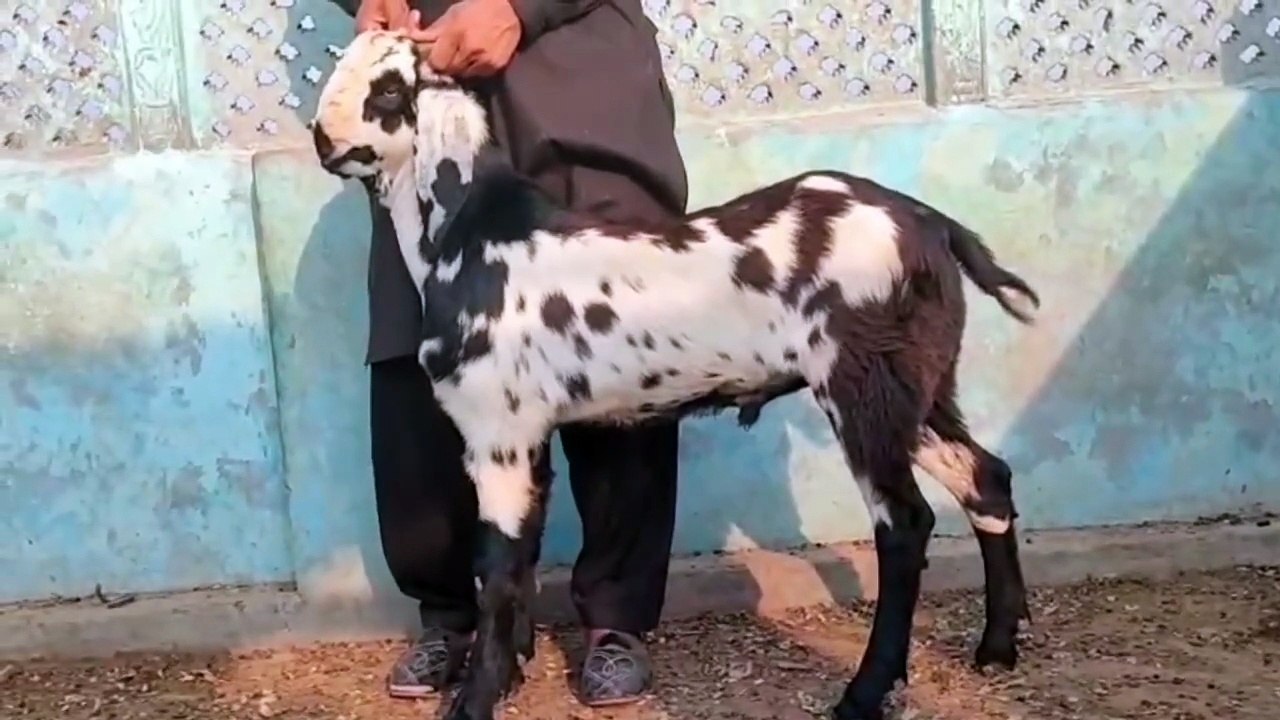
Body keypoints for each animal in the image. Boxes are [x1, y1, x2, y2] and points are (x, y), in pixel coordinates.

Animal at [312, 30, 1039, 720]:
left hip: (861, 390)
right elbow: (520, 566)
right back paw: (997, 646)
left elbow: (494, 569)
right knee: (984, 478)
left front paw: (477, 699)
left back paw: (864, 694)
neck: (472, 235)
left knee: (905, 524)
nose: (323, 138)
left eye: (387, 88)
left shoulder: (498, 434)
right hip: (913, 389)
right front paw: (510, 674)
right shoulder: (528, 438)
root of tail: (931, 225)